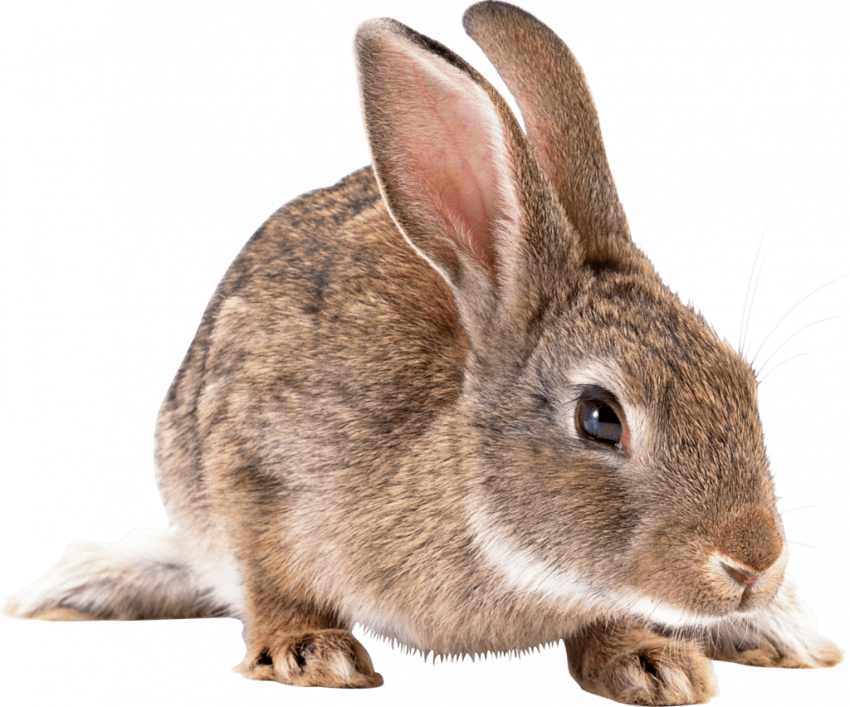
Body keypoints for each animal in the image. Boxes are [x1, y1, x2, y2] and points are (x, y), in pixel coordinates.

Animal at [1, 1, 844, 704]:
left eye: (741, 382)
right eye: (600, 417)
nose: (754, 564)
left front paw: (653, 661)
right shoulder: (251, 465)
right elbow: (270, 575)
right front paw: (311, 652)